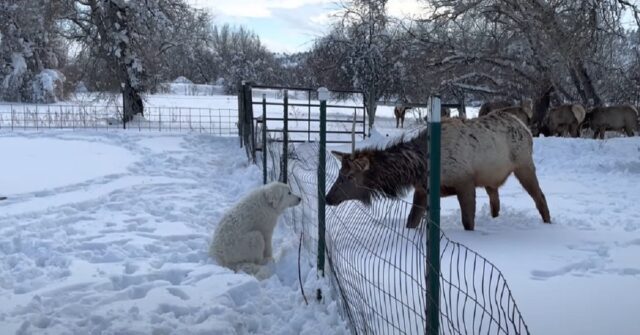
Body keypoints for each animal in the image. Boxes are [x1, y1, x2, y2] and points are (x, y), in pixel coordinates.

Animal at [324, 111, 552, 230]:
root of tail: (525, 126)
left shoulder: (464, 181)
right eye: (339, 174)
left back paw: (548, 223)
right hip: (490, 178)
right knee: (495, 202)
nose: (327, 198)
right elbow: (411, 221)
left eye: (349, 176)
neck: (419, 168)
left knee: (540, 197)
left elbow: (468, 221)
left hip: (524, 165)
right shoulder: (422, 190)